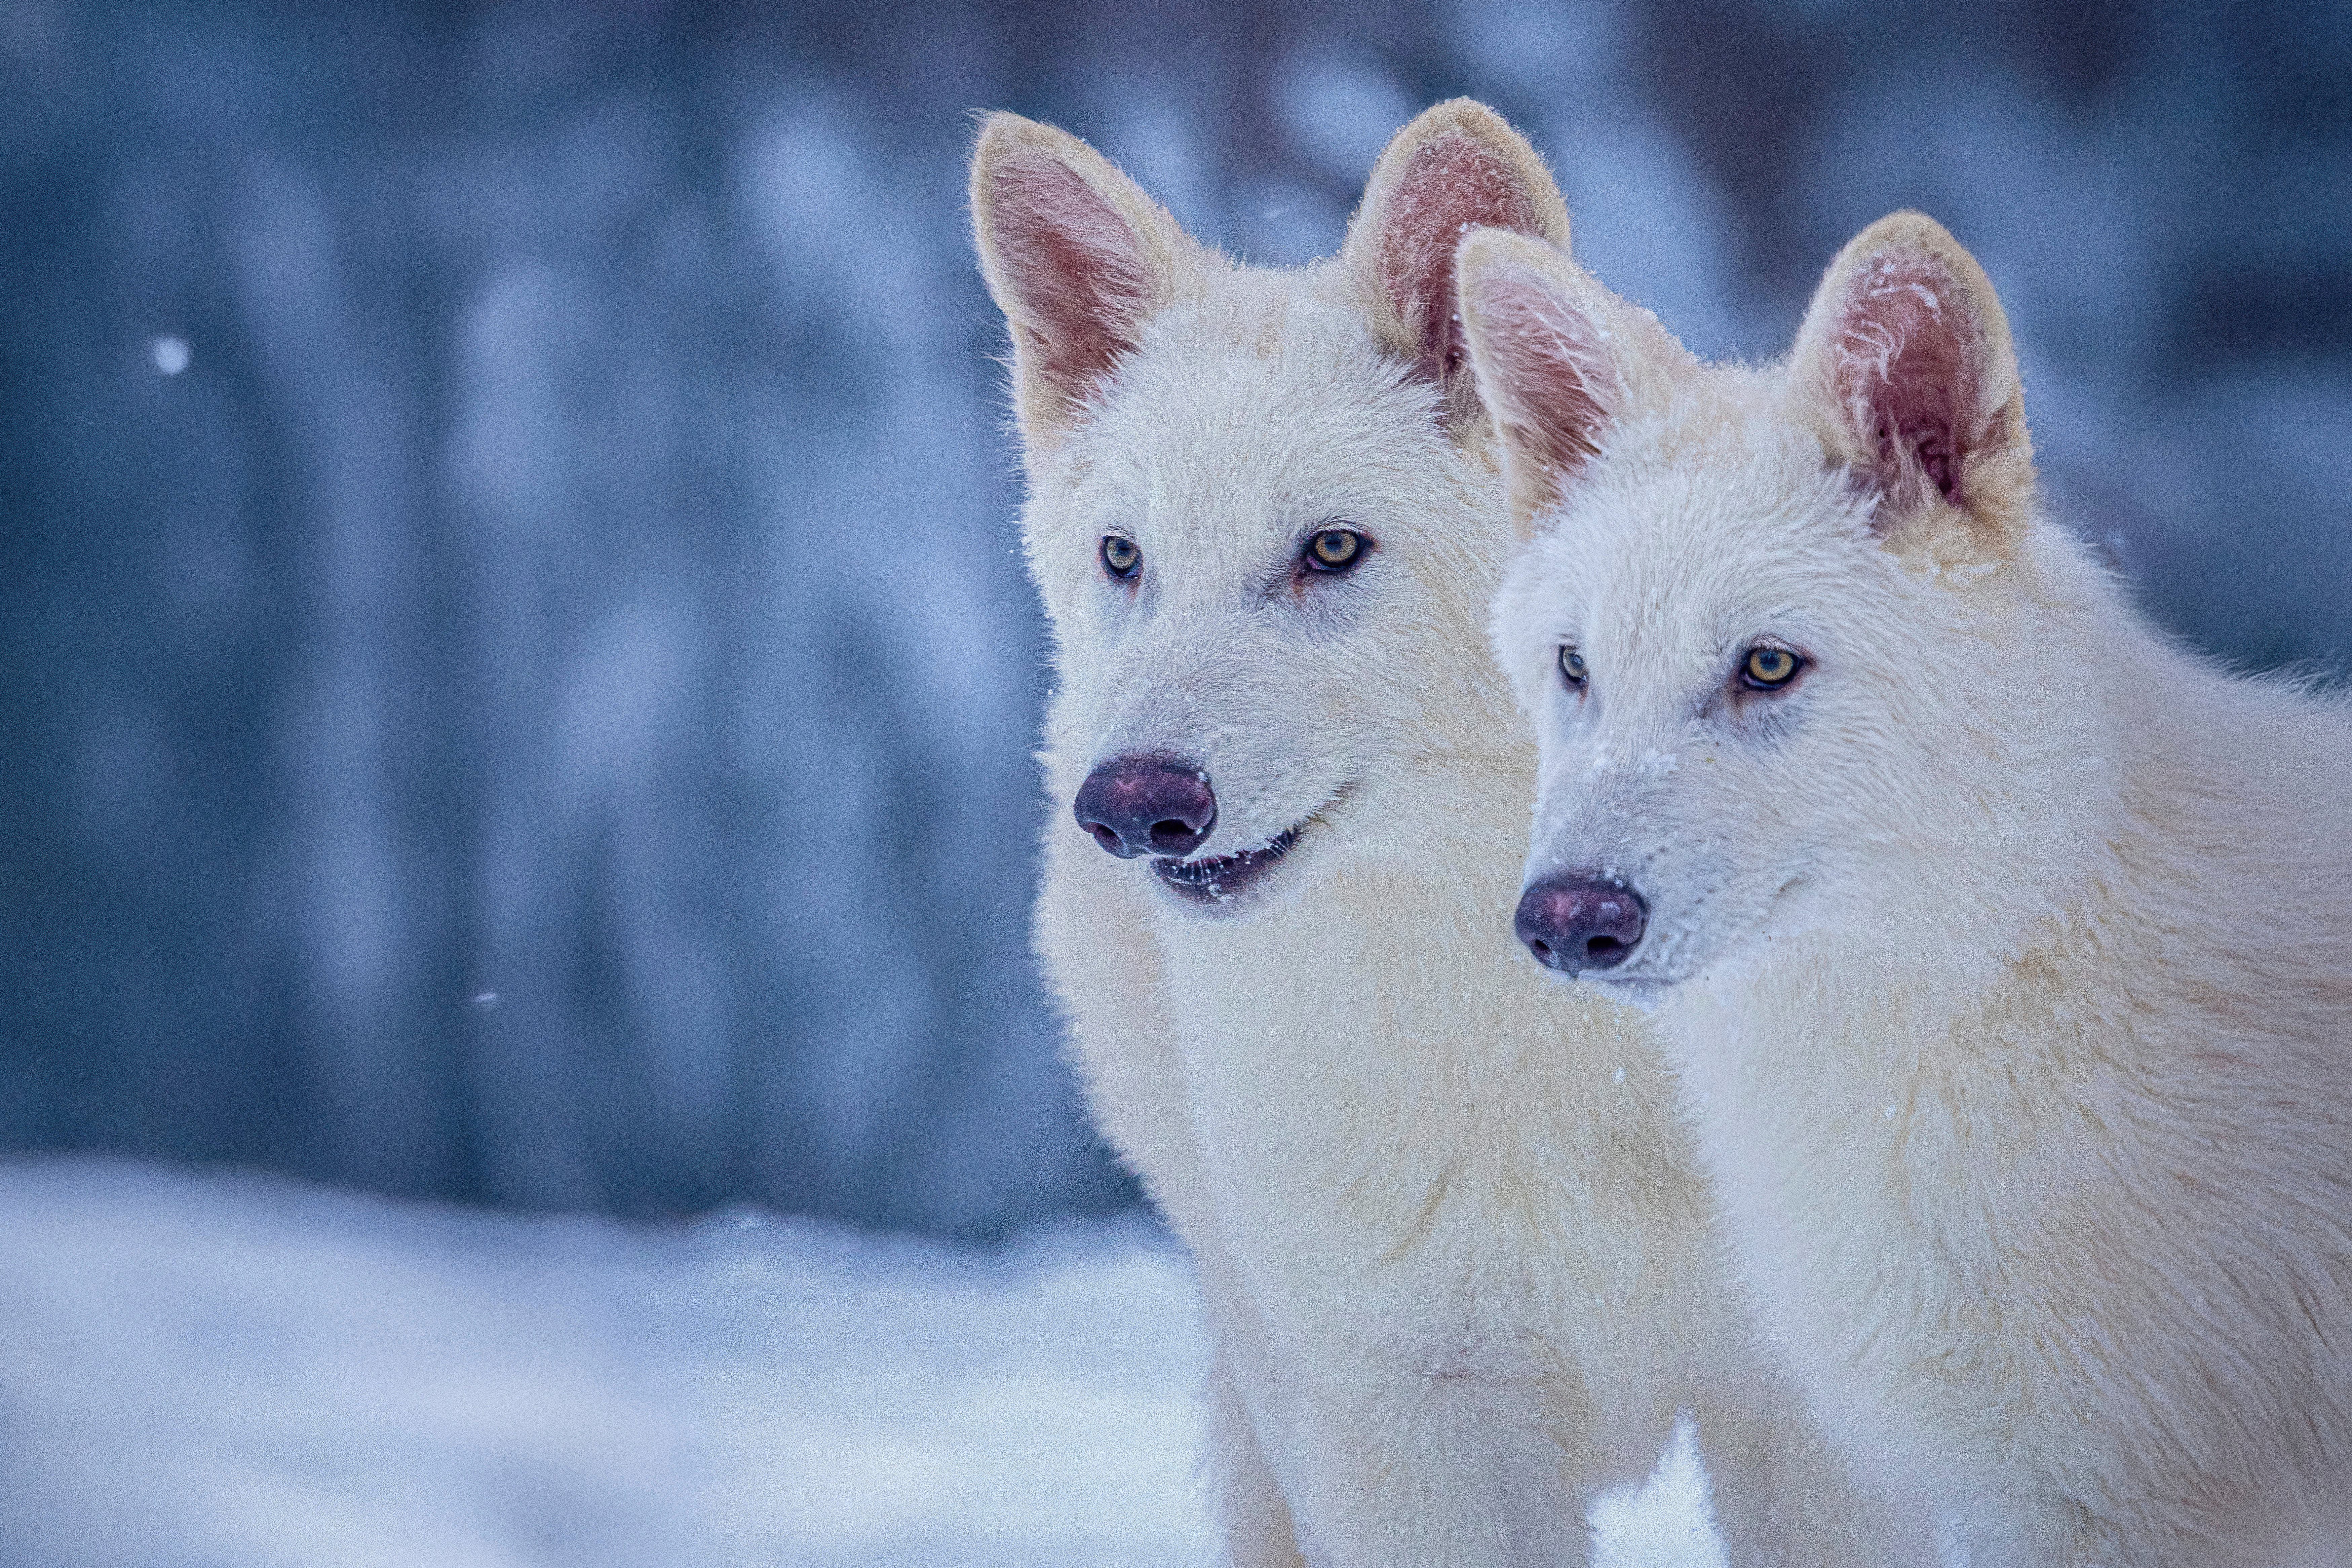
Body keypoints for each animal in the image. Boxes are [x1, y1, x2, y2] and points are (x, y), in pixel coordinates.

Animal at [969, 101, 1924, 1567]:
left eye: (1329, 550)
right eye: (1125, 558)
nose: (1129, 804)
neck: (1555, 1038)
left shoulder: (1806, 1417)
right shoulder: (1409, 1419)